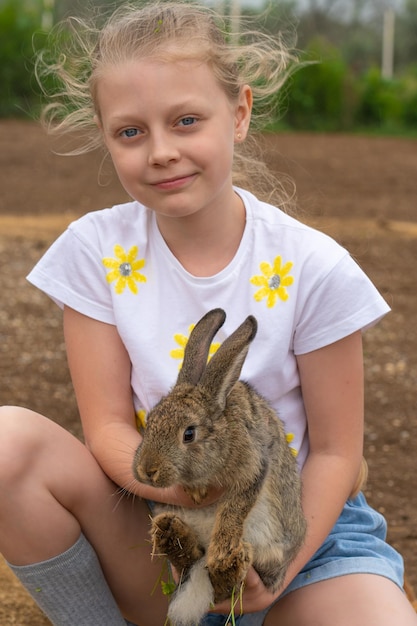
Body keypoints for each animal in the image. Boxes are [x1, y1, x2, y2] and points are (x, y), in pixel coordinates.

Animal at [133, 308, 306, 624]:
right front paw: (197, 493)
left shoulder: (253, 467)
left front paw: (222, 550)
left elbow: (233, 509)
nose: (147, 471)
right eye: (149, 421)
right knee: (190, 559)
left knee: (223, 582)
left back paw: (227, 560)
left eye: (189, 434)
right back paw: (172, 535)